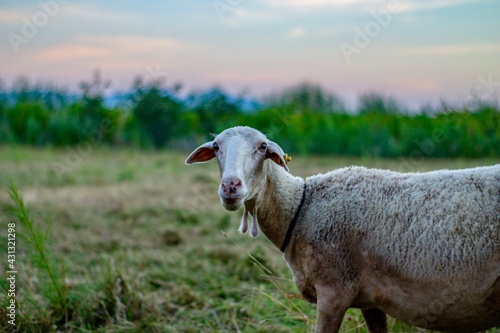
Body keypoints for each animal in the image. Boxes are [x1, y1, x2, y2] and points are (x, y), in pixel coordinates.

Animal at [187, 125, 500, 332]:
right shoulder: (372, 301)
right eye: (216, 147)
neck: (301, 207)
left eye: (263, 147)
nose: (231, 186)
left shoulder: (334, 291)